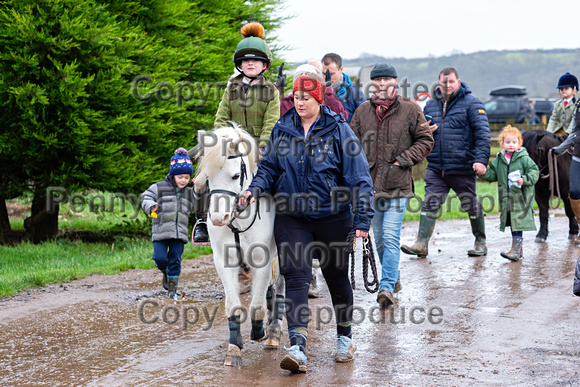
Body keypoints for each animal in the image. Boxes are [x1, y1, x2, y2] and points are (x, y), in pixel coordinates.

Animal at [196, 125, 282, 366]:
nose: (218, 219)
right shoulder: (224, 261)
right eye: (208, 178)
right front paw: (234, 348)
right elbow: (233, 305)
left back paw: (273, 332)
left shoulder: (262, 260)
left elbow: (257, 304)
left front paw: (259, 331)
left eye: (235, 175)